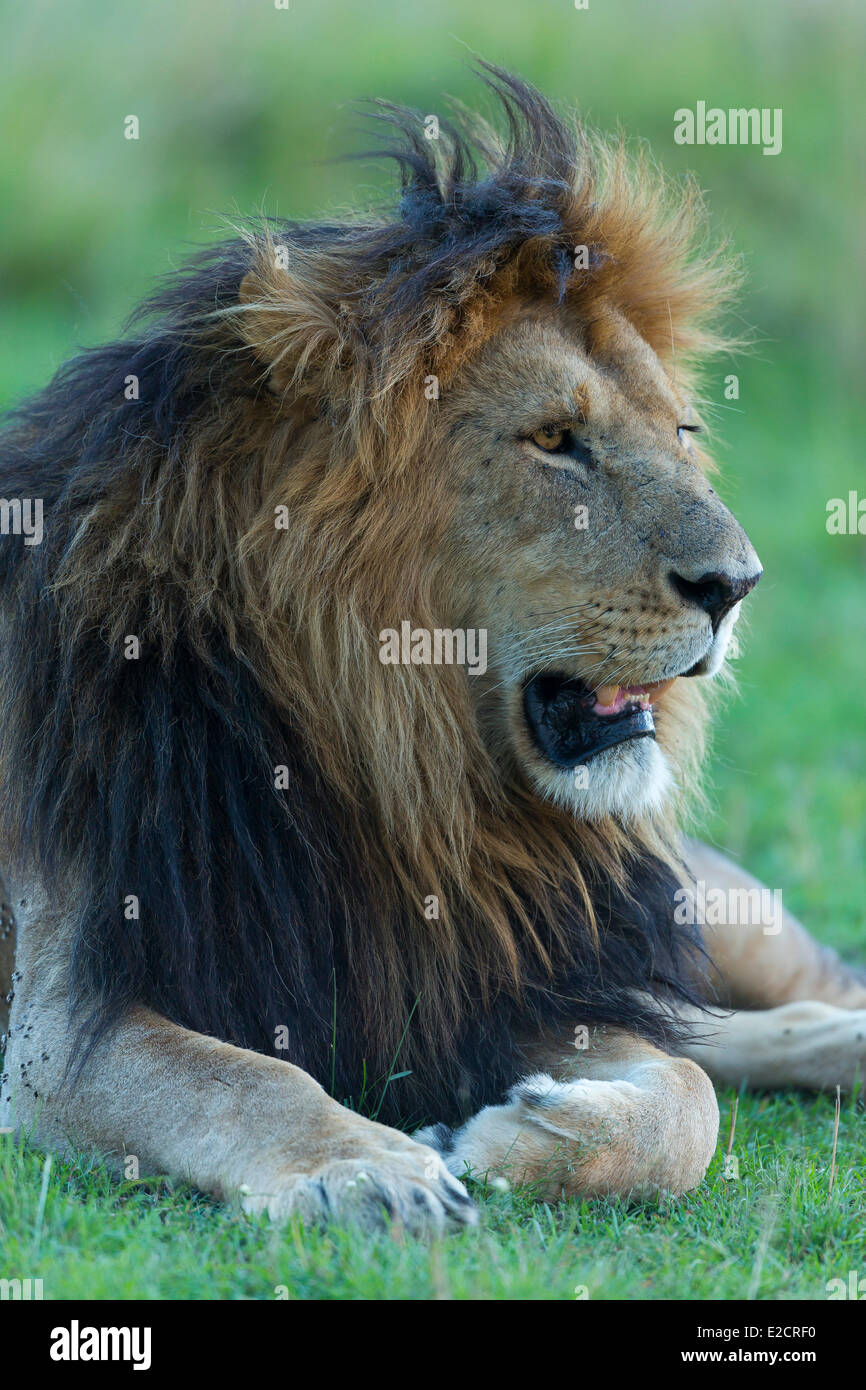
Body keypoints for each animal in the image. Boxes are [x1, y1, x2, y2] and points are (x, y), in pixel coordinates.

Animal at [1, 65, 865, 1235]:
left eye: (682, 433)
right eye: (553, 440)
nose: (737, 586)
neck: (403, 780)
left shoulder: (511, 963)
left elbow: (684, 1095)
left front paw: (521, 1134)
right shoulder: (59, 1027)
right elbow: (244, 1076)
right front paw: (371, 1169)